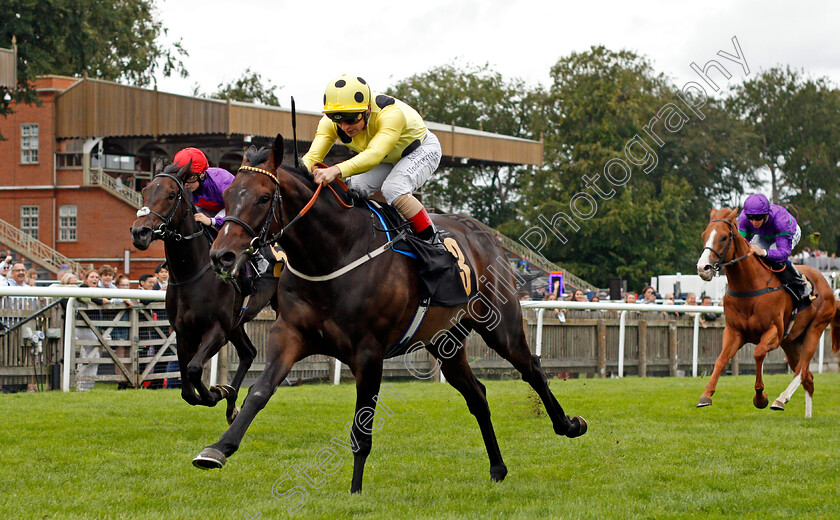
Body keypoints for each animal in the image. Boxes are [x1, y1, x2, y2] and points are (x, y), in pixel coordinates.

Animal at [129, 160, 278, 424]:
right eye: (145, 190)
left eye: (171, 195)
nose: (140, 232)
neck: (191, 274)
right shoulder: (183, 332)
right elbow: (187, 388)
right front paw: (219, 392)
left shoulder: (217, 330)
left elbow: (195, 368)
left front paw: (215, 392)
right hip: (237, 322)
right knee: (248, 353)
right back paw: (232, 403)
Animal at [191, 136, 588, 494]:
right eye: (227, 196)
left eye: (262, 197)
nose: (221, 256)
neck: (334, 253)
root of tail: (489, 237)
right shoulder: (289, 334)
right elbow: (259, 391)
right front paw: (218, 449)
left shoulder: (369, 352)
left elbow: (361, 425)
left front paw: (355, 491)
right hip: (446, 341)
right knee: (477, 394)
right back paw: (497, 468)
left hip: (500, 325)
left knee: (532, 368)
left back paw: (569, 425)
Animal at [696, 209, 840, 416]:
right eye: (704, 235)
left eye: (723, 237)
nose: (703, 268)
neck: (749, 285)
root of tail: (829, 288)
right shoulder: (733, 332)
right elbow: (721, 359)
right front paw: (706, 395)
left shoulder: (774, 333)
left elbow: (758, 353)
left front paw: (760, 398)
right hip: (791, 342)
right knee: (808, 377)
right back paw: (807, 416)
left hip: (815, 328)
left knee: (802, 370)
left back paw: (781, 399)